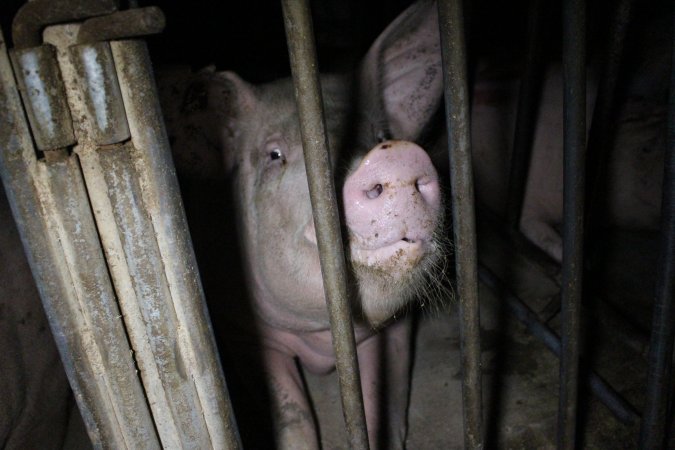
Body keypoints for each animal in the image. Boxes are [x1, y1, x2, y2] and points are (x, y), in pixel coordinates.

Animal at [160, 0, 448, 450]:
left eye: (380, 134)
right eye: (274, 154)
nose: (394, 155)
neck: (323, 340)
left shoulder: (398, 325)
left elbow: (383, 397)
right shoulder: (244, 330)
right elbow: (291, 412)